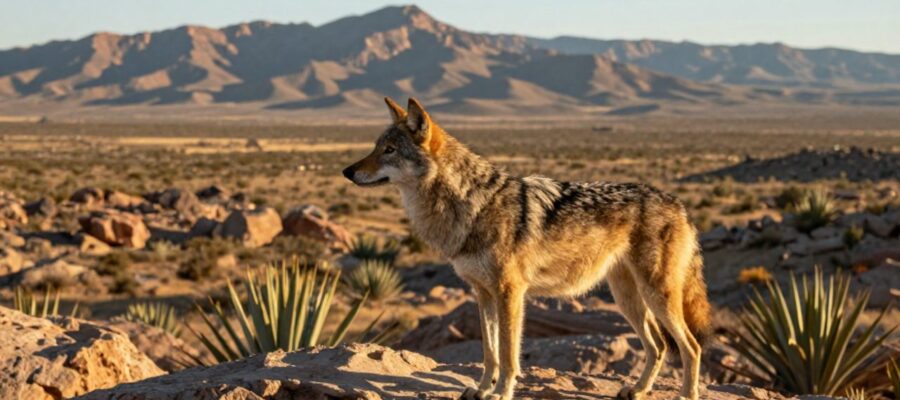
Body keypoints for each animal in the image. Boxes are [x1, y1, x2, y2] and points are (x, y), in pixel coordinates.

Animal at [343, 97, 711, 400]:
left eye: (390, 150)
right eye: (376, 147)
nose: (347, 171)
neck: (471, 204)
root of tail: (679, 205)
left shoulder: (510, 292)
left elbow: (507, 353)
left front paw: (502, 392)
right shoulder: (482, 293)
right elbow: (489, 352)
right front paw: (481, 390)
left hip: (656, 295)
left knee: (690, 347)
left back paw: (684, 394)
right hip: (627, 299)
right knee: (659, 345)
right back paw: (637, 390)